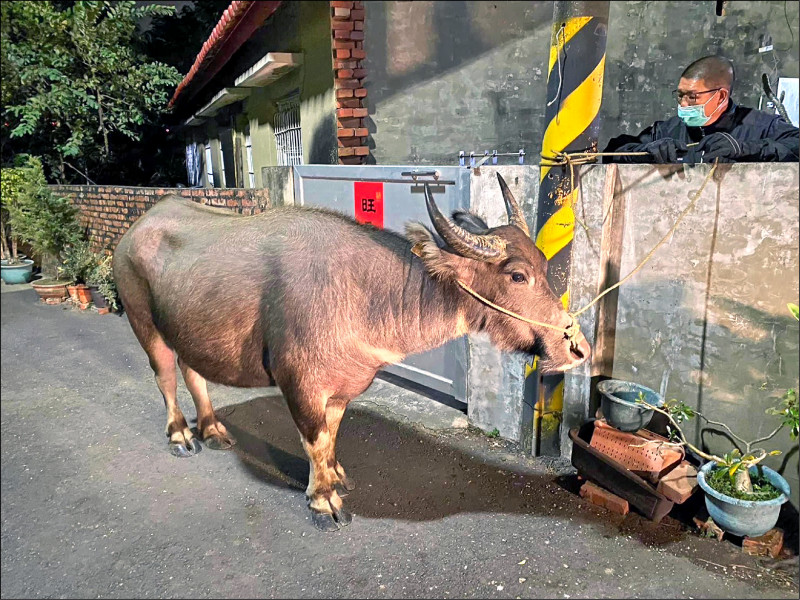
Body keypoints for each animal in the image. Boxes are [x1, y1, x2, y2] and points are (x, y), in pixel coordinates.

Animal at [114, 172, 588, 528]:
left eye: (545, 265)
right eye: (517, 275)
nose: (577, 349)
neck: (363, 294)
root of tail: (138, 228)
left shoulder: (342, 387)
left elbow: (332, 434)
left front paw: (335, 476)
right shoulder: (300, 385)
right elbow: (314, 439)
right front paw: (322, 499)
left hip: (187, 329)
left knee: (192, 371)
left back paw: (212, 429)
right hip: (143, 322)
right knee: (165, 376)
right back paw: (181, 435)